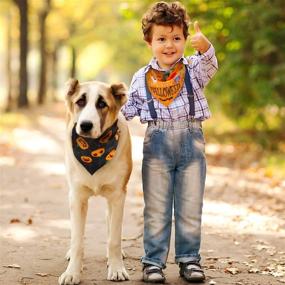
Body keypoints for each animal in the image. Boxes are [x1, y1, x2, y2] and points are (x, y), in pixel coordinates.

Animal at [59, 78, 132, 284]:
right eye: (80, 102)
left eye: (102, 104)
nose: (85, 125)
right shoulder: (77, 197)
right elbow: (77, 240)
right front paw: (72, 272)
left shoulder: (118, 196)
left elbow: (114, 239)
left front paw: (116, 268)